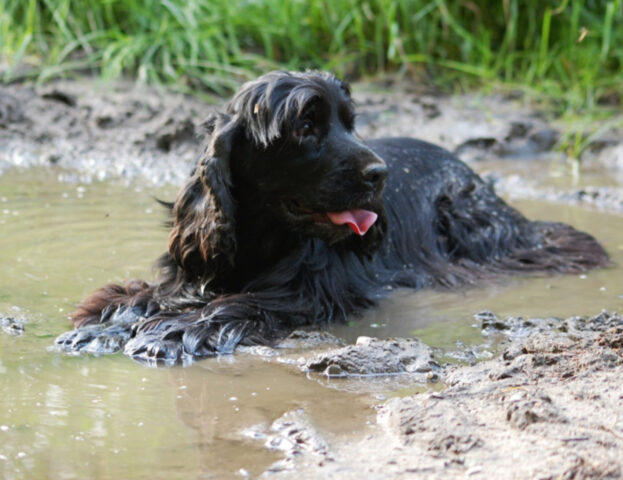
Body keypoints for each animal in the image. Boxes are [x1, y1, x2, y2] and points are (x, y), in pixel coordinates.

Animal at [56, 70, 612, 364]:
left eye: (350, 123)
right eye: (306, 125)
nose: (380, 173)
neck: (264, 237)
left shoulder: (309, 290)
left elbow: (239, 305)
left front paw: (171, 333)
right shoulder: (198, 267)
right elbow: (148, 296)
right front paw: (104, 325)